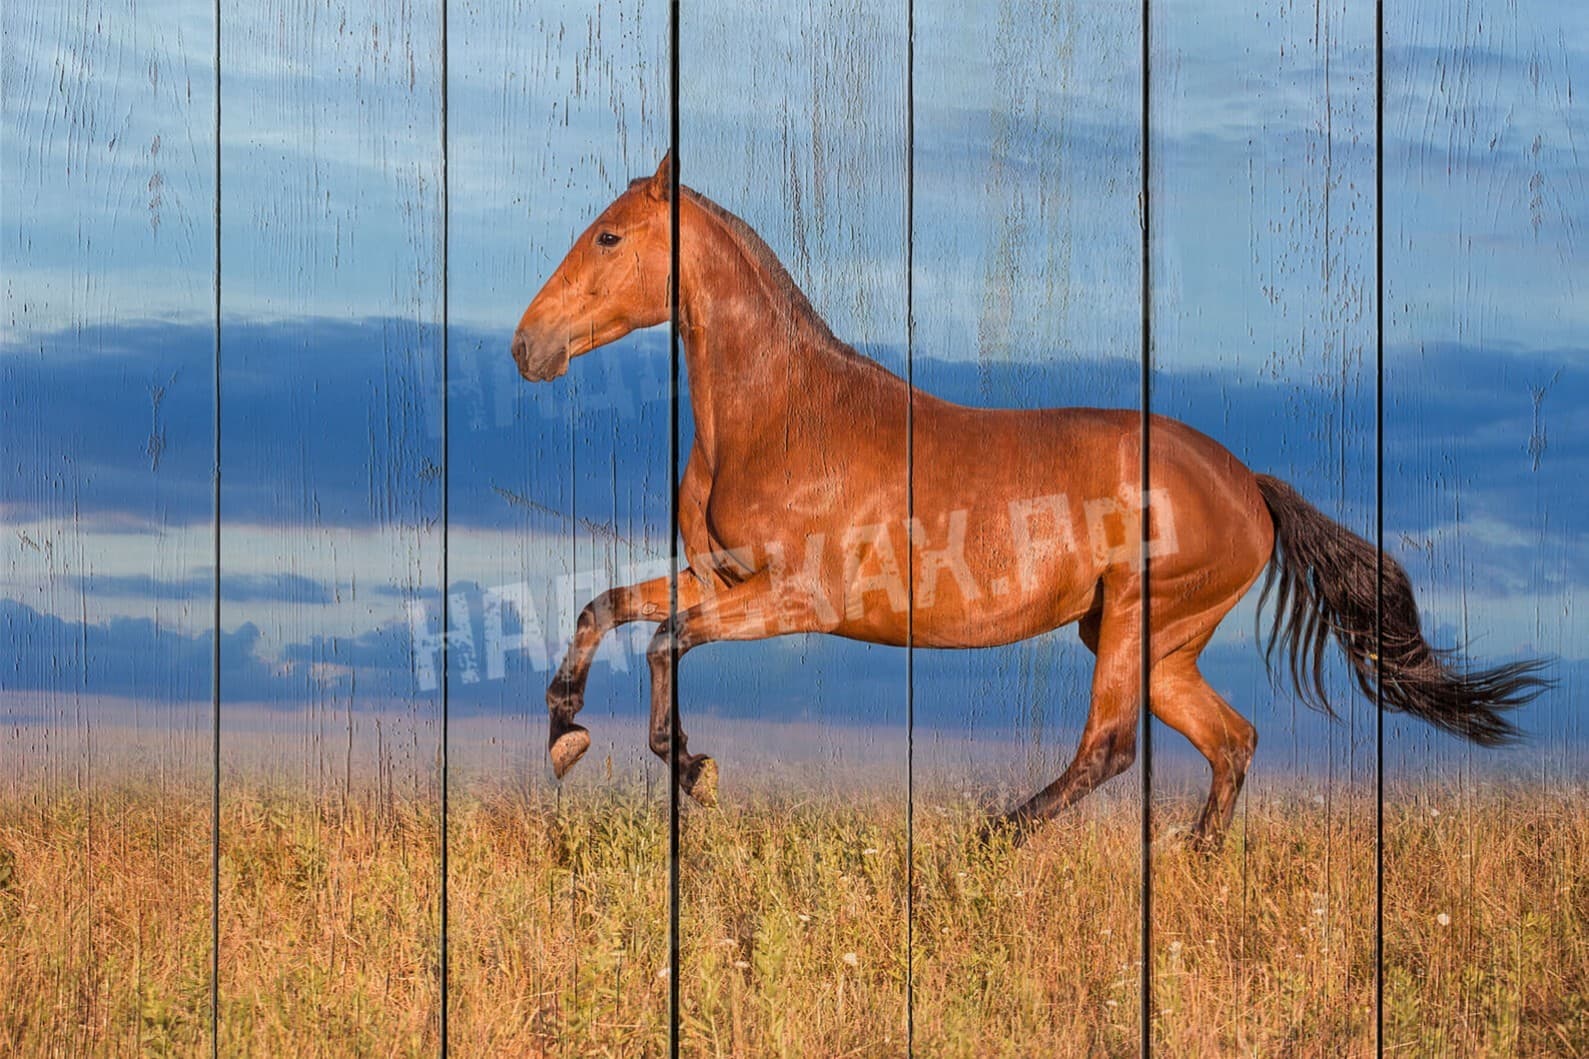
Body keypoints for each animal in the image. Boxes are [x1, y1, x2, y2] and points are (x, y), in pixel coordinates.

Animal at [510, 154, 1548, 848]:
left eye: (609, 235)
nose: (527, 346)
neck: (781, 416)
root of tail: (1247, 485)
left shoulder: (796, 599)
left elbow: (662, 640)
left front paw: (693, 767)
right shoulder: (719, 579)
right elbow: (603, 608)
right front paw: (567, 735)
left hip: (1134, 623)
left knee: (1111, 748)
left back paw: (991, 839)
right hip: (1152, 643)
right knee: (1231, 741)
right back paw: (1195, 865)